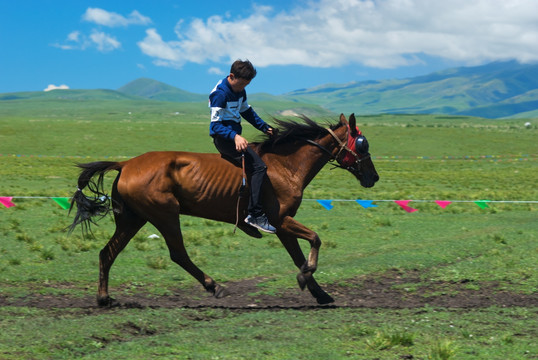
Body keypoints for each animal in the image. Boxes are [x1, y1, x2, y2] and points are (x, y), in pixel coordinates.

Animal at [70, 114, 376, 306]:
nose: (374, 177)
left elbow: (298, 256)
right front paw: (307, 278)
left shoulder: (282, 226)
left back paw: (104, 298)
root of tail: (125, 164)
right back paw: (213, 285)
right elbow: (314, 239)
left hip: (132, 219)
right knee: (178, 253)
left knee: (107, 253)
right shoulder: (280, 220)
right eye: (362, 144)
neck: (286, 166)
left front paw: (319, 293)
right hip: (164, 215)